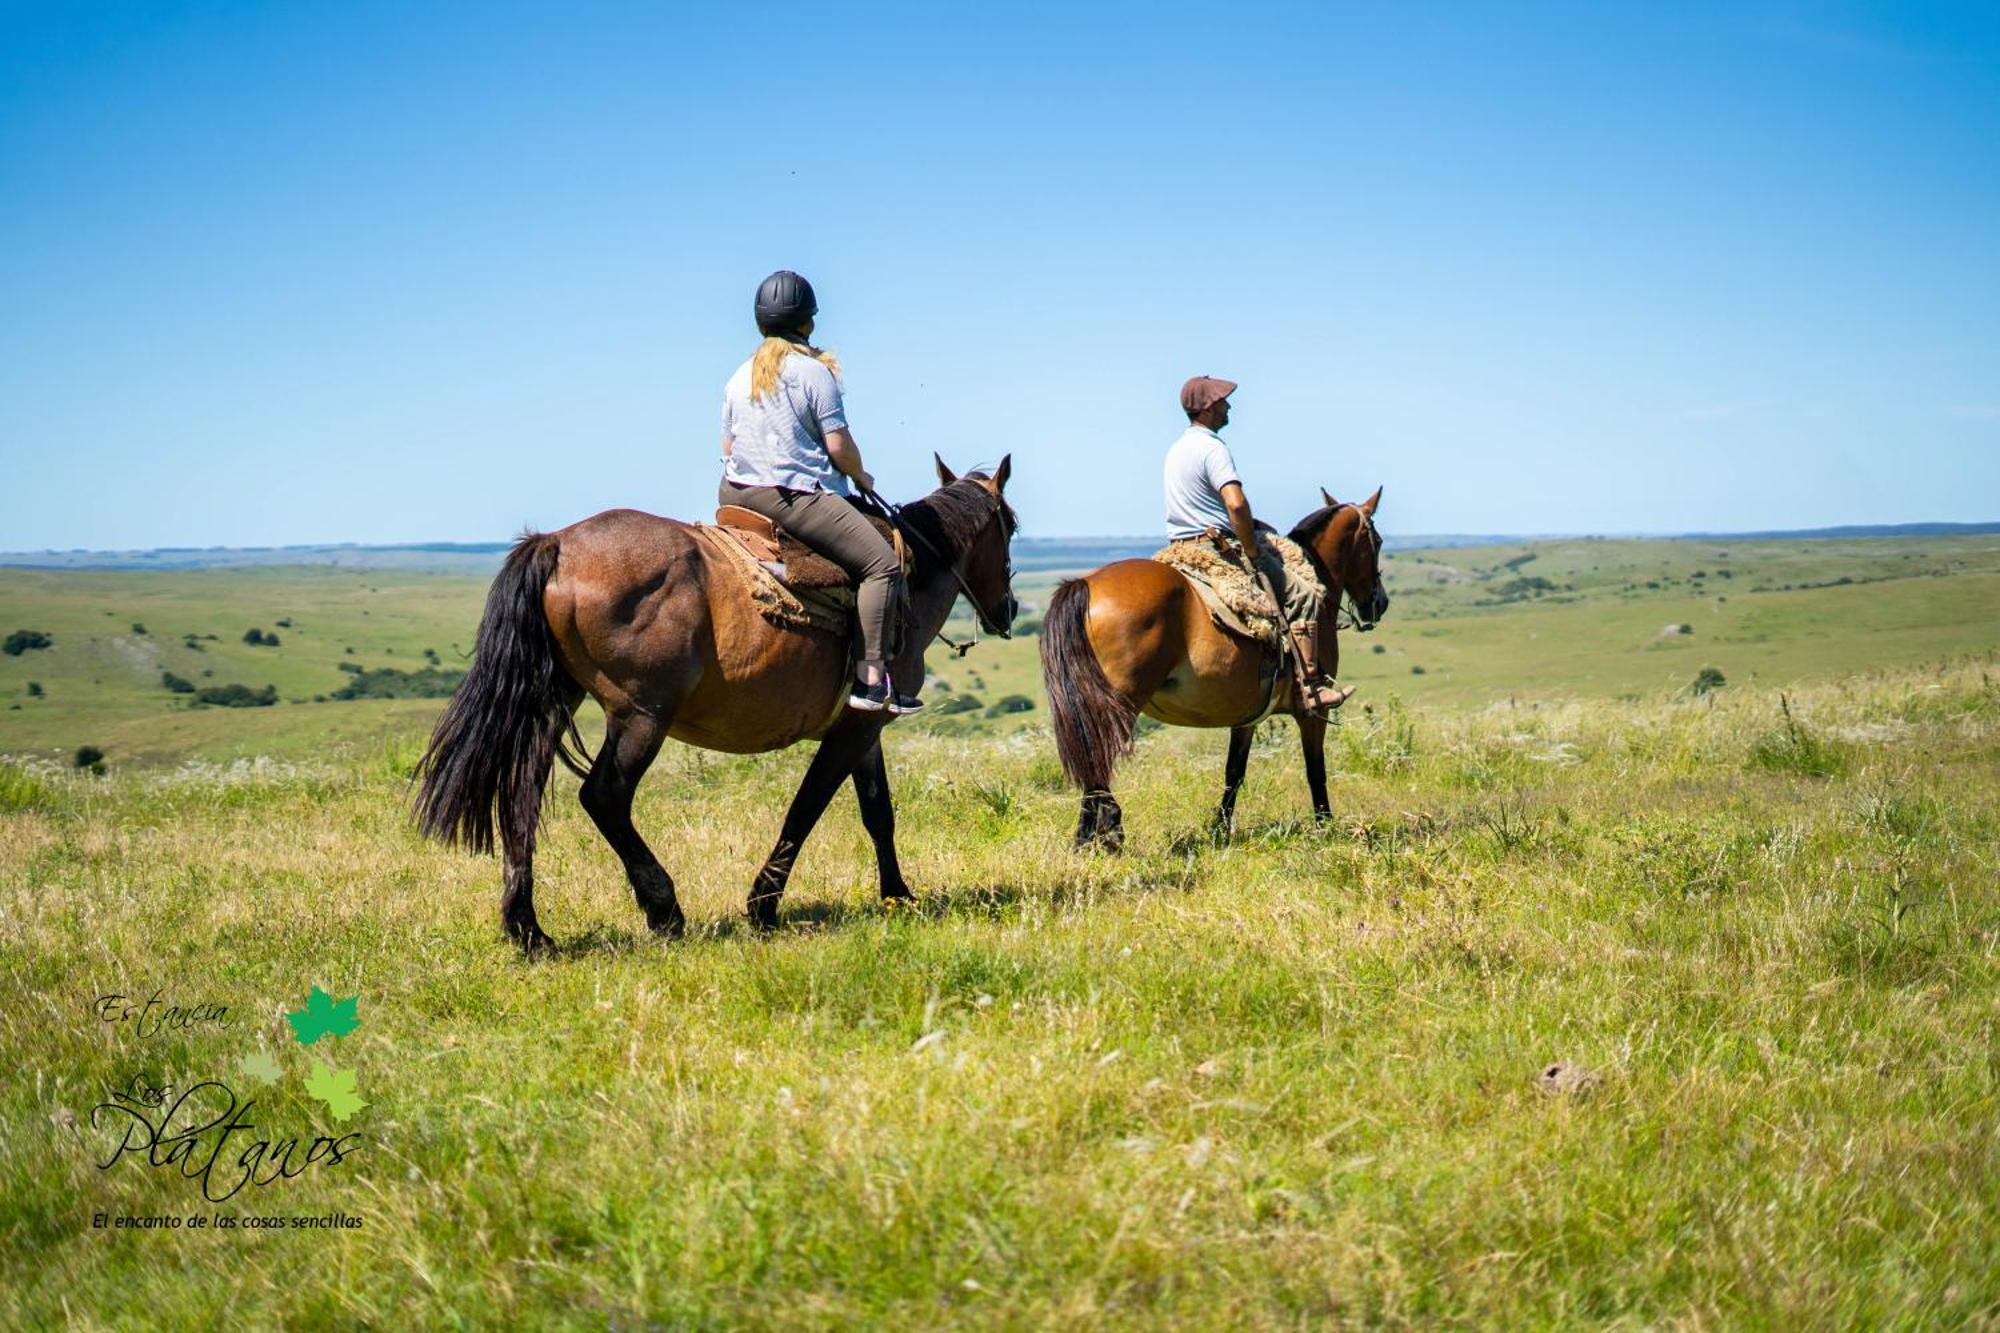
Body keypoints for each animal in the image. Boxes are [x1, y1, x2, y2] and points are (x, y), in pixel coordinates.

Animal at [416, 454, 1024, 944]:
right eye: (1011, 525)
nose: (1011, 608)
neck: (907, 579)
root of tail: (558, 544)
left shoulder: (861, 725)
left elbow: (878, 811)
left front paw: (898, 896)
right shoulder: (854, 729)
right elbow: (807, 808)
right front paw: (762, 907)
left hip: (553, 704)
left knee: (520, 796)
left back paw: (529, 930)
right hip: (642, 717)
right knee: (604, 797)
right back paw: (663, 910)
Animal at [1040, 486, 1384, 840]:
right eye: (1378, 541)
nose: (1380, 602)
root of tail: (1085, 585)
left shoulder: (1248, 716)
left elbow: (1234, 772)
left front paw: (1221, 828)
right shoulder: (1312, 713)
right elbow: (1316, 769)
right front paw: (1325, 826)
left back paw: (1086, 838)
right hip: (1118, 704)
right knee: (1097, 763)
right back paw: (1108, 832)